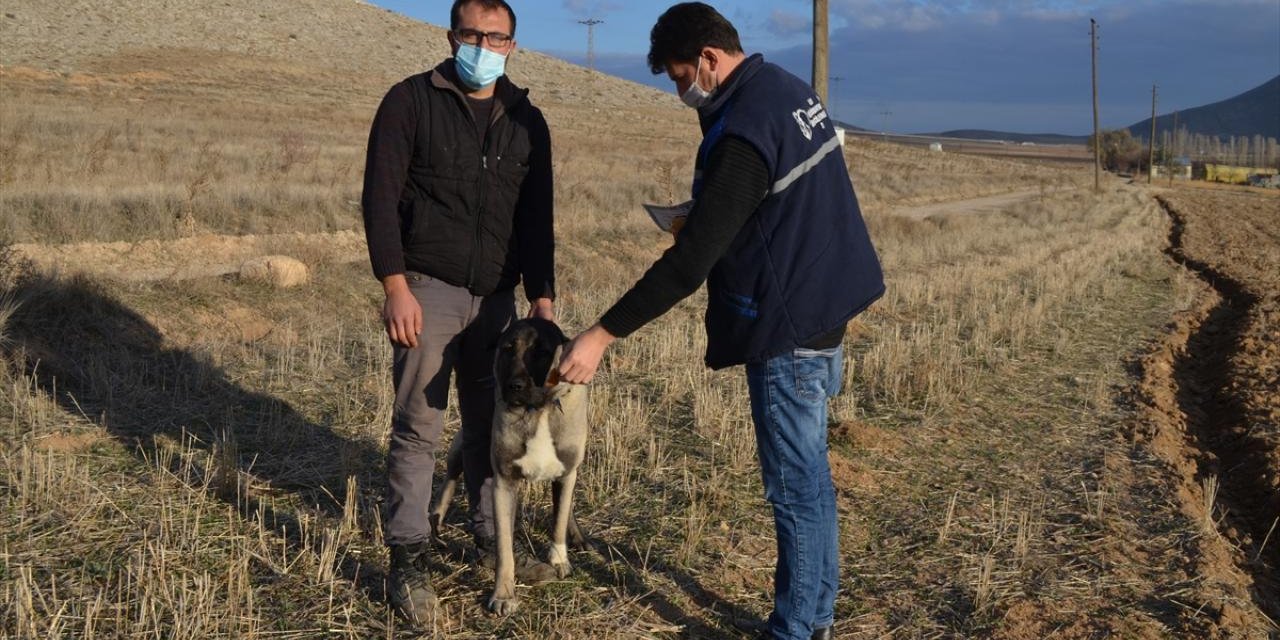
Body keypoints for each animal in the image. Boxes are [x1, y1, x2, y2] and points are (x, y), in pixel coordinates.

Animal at [430, 316, 588, 614]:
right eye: (507, 349)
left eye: (541, 351)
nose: (514, 386)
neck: (537, 410)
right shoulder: (503, 484)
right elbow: (504, 550)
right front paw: (503, 595)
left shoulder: (566, 473)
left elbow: (559, 518)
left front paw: (559, 558)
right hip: (461, 446)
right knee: (449, 482)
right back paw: (435, 523)